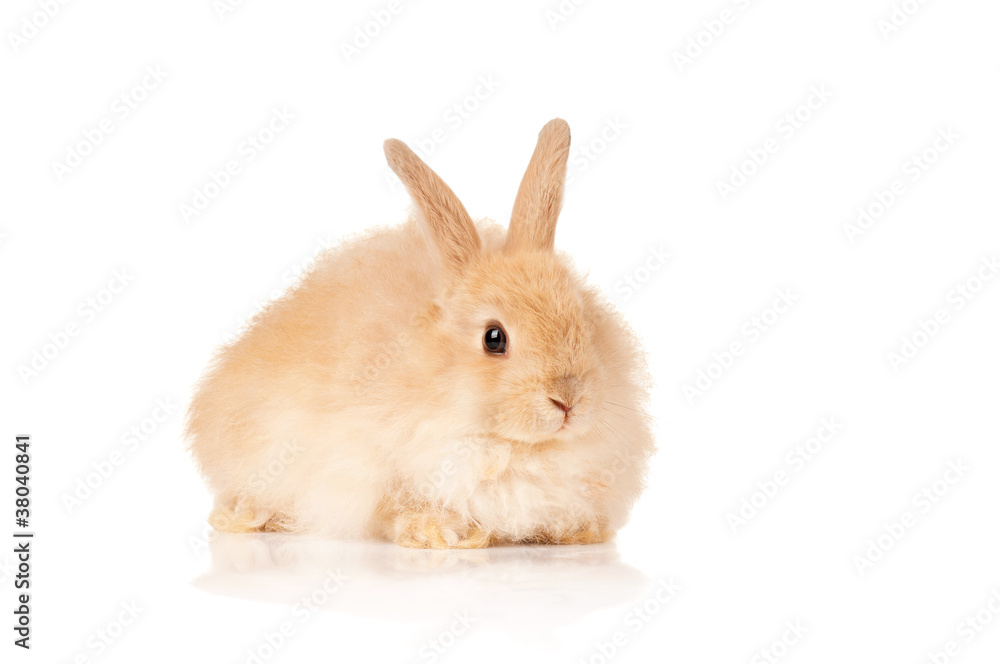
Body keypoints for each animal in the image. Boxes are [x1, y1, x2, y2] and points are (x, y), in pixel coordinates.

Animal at [186, 119, 654, 549]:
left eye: (582, 319)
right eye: (494, 338)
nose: (568, 399)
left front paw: (578, 531)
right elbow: (398, 506)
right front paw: (438, 533)